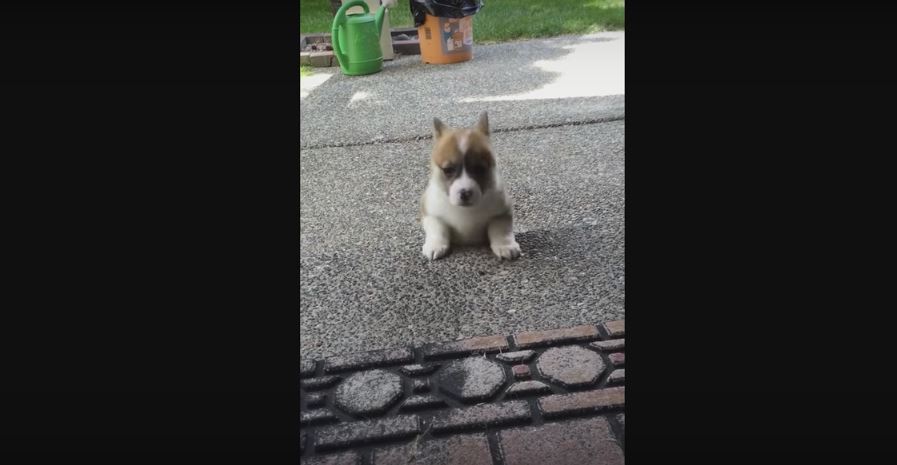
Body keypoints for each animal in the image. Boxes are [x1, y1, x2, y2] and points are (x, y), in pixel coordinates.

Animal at [422, 110, 520, 260]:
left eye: (479, 169)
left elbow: (501, 231)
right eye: (448, 170)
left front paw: (505, 246)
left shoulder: (501, 213)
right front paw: (435, 245)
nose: (465, 193)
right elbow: (437, 229)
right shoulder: (431, 214)